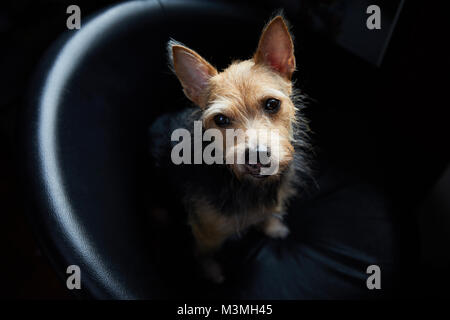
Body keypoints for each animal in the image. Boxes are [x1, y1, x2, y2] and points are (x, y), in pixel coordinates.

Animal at [149, 15, 312, 282]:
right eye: (221, 120)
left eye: (272, 104)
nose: (257, 156)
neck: (248, 186)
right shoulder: (206, 232)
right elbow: (203, 254)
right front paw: (211, 272)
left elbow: (267, 213)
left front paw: (273, 227)